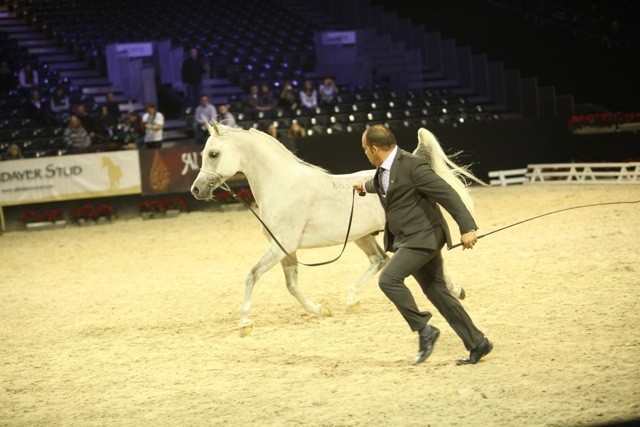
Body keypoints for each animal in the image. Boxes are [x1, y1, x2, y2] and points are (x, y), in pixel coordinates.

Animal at [190, 120, 476, 337]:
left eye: (213, 154)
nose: (196, 190)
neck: (282, 184)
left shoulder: (280, 244)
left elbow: (252, 275)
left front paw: (244, 324)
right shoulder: (286, 248)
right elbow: (292, 285)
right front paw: (321, 310)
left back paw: (455, 290)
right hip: (362, 236)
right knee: (380, 260)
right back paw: (352, 299)